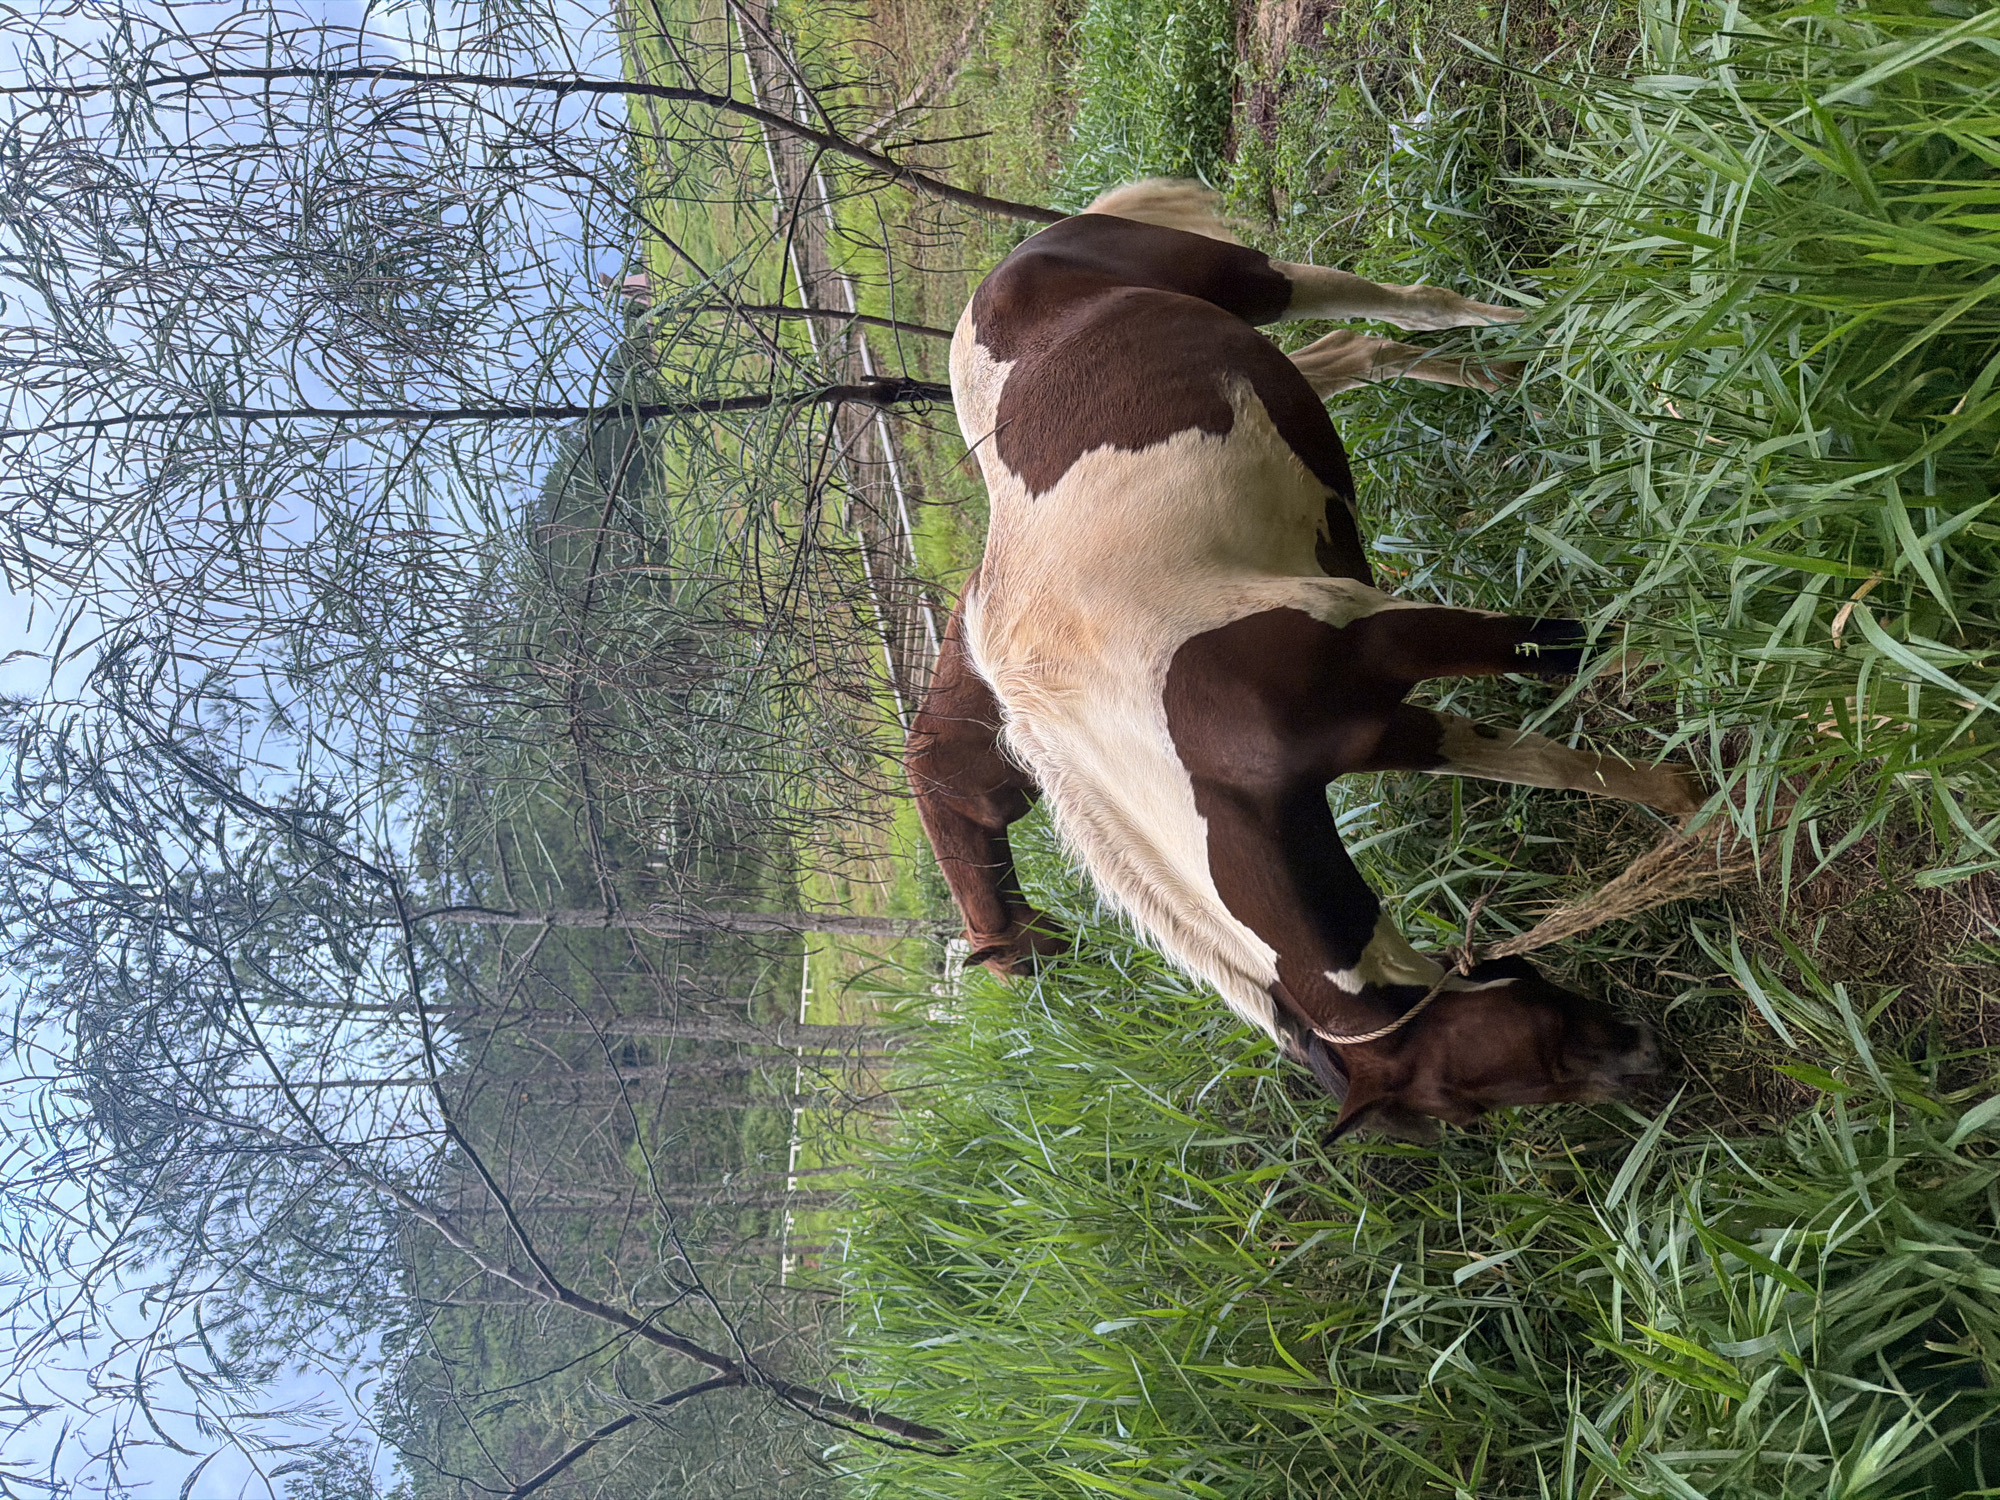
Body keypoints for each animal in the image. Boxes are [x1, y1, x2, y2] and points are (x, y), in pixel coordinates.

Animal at [905, 181, 1703, 1139]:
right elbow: (1548, 765)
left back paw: (1542, 325)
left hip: (1264, 285)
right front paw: (1691, 806)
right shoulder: (1380, 728)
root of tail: (1009, 270)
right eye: (1471, 1097)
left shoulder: (1388, 634)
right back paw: (1512, 377)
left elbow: (1566, 647)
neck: (1161, 732)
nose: (1644, 1061)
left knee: (1413, 307)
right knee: (1360, 352)